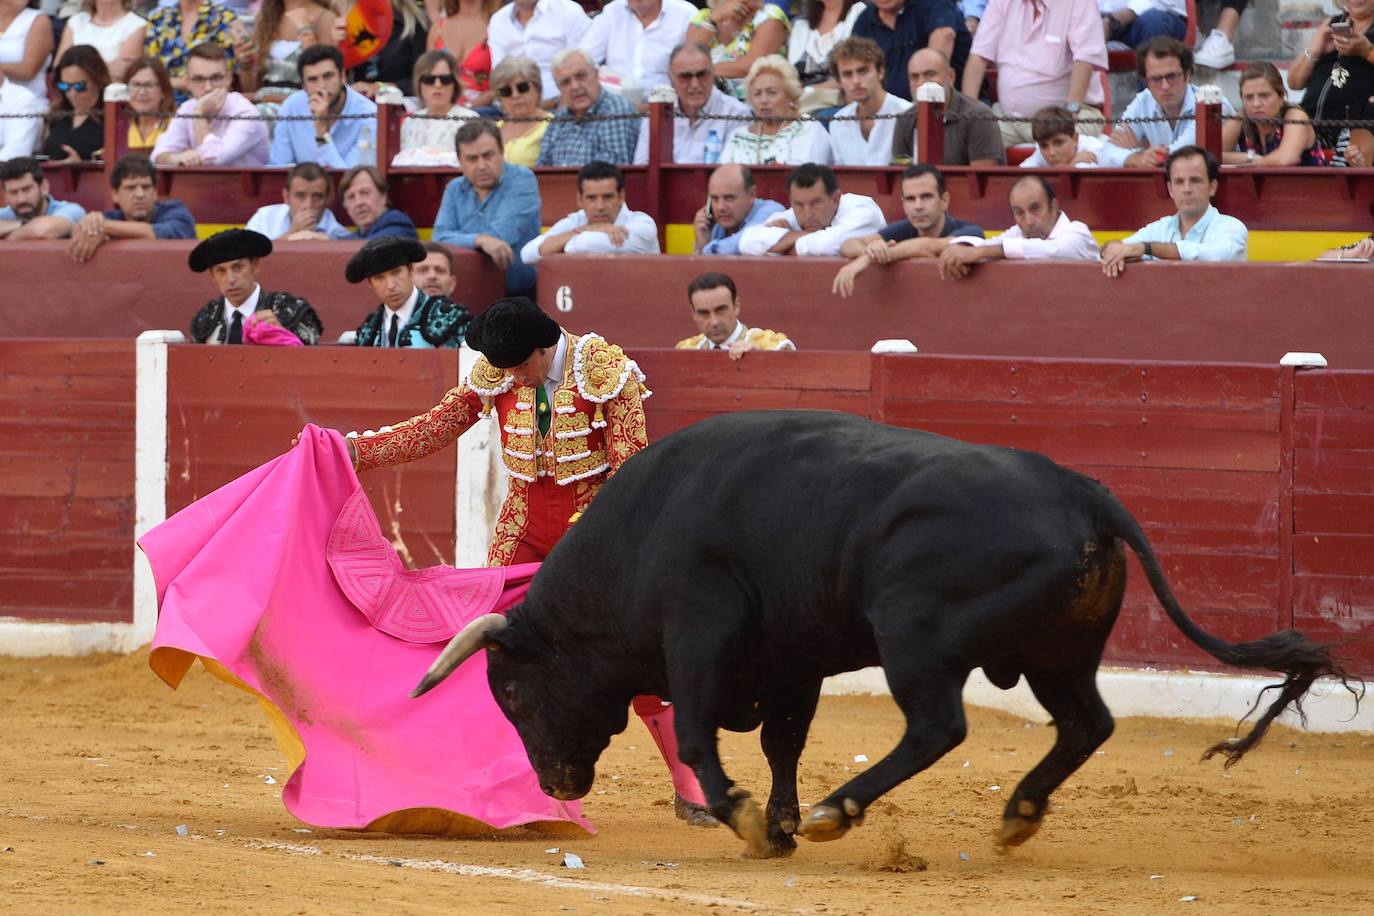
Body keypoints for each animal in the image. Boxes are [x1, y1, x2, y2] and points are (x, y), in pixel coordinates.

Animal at [412, 411, 1357, 856]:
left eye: (511, 690)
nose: (556, 782)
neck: (639, 534)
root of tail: (1082, 491)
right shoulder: (790, 658)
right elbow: (784, 741)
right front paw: (780, 824)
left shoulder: (699, 630)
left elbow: (699, 730)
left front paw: (747, 819)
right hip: (1059, 651)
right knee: (1087, 723)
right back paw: (1016, 815)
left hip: (914, 635)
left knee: (938, 726)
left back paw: (847, 808)